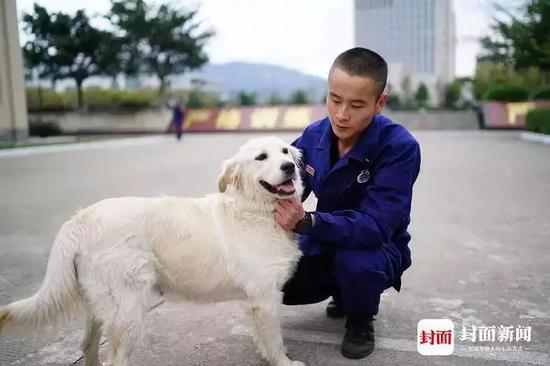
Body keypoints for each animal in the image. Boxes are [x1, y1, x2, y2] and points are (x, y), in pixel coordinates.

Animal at [0, 137, 306, 366]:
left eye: (285, 151)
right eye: (261, 157)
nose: (289, 166)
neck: (255, 212)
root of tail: (80, 219)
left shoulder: (257, 301)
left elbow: (263, 339)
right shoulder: (266, 298)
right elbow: (275, 340)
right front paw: (285, 363)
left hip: (99, 306)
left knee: (87, 344)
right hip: (128, 311)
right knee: (115, 359)